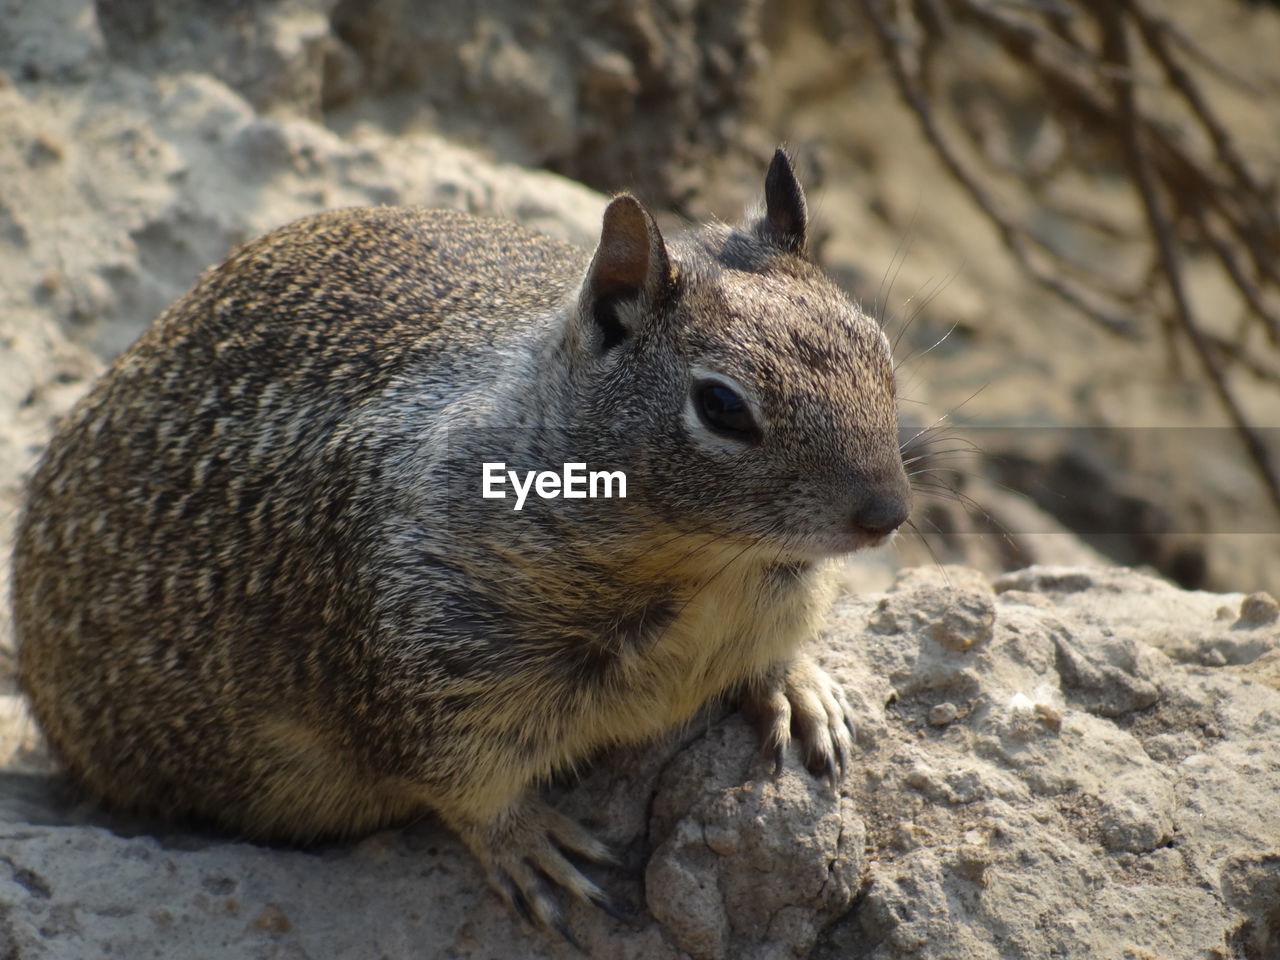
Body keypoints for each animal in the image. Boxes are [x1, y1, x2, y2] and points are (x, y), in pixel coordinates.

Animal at [10, 150, 911, 942]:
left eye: (880, 348)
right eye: (722, 407)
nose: (889, 512)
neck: (705, 567)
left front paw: (800, 689)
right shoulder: (426, 668)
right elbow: (468, 787)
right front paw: (530, 847)